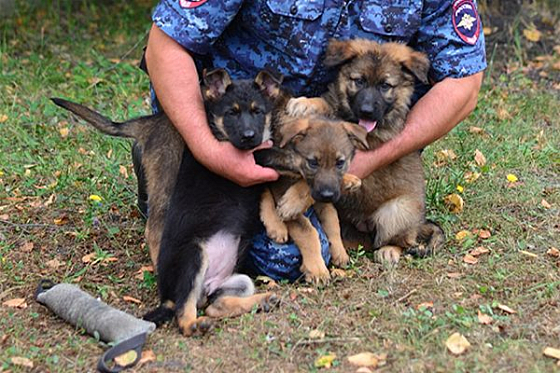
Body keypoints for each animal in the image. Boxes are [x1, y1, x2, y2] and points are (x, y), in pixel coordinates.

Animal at [52, 68, 282, 336]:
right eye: (231, 113)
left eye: (258, 112)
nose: (248, 137)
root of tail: (151, 122)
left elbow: (267, 194)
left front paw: (276, 224)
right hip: (188, 240)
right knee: (182, 307)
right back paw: (194, 323)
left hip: (237, 281)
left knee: (215, 304)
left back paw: (262, 300)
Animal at [284, 39, 446, 264]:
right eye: (359, 81)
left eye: (385, 86)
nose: (367, 111)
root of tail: (419, 224)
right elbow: (326, 104)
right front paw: (305, 103)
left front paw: (291, 201)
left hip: (397, 211)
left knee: (399, 240)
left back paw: (389, 250)